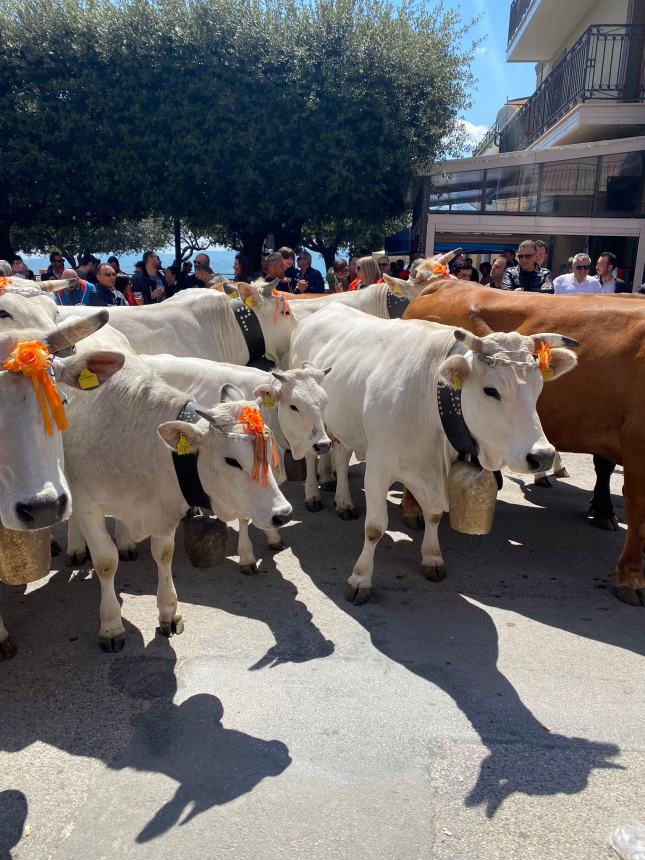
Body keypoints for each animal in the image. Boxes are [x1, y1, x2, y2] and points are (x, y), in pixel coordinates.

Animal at [59, 344, 292, 652]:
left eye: (268, 452)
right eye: (232, 461)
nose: (283, 513)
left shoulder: (164, 509)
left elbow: (164, 554)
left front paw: (169, 612)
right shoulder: (88, 506)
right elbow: (106, 563)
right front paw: (111, 626)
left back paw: (125, 543)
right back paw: (76, 547)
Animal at [290, 306, 576, 600]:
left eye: (538, 387)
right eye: (490, 390)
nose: (543, 455)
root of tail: (325, 309)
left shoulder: (431, 475)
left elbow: (434, 515)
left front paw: (432, 558)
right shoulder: (379, 468)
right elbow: (374, 528)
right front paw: (360, 578)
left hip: (346, 422)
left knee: (341, 455)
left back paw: (343, 502)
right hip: (309, 418)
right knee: (313, 455)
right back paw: (313, 495)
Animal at [402, 282, 644, 604]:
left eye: (540, 388)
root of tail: (444, 283)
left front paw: (603, 512)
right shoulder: (637, 442)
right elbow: (638, 512)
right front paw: (631, 578)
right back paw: (413, 509)